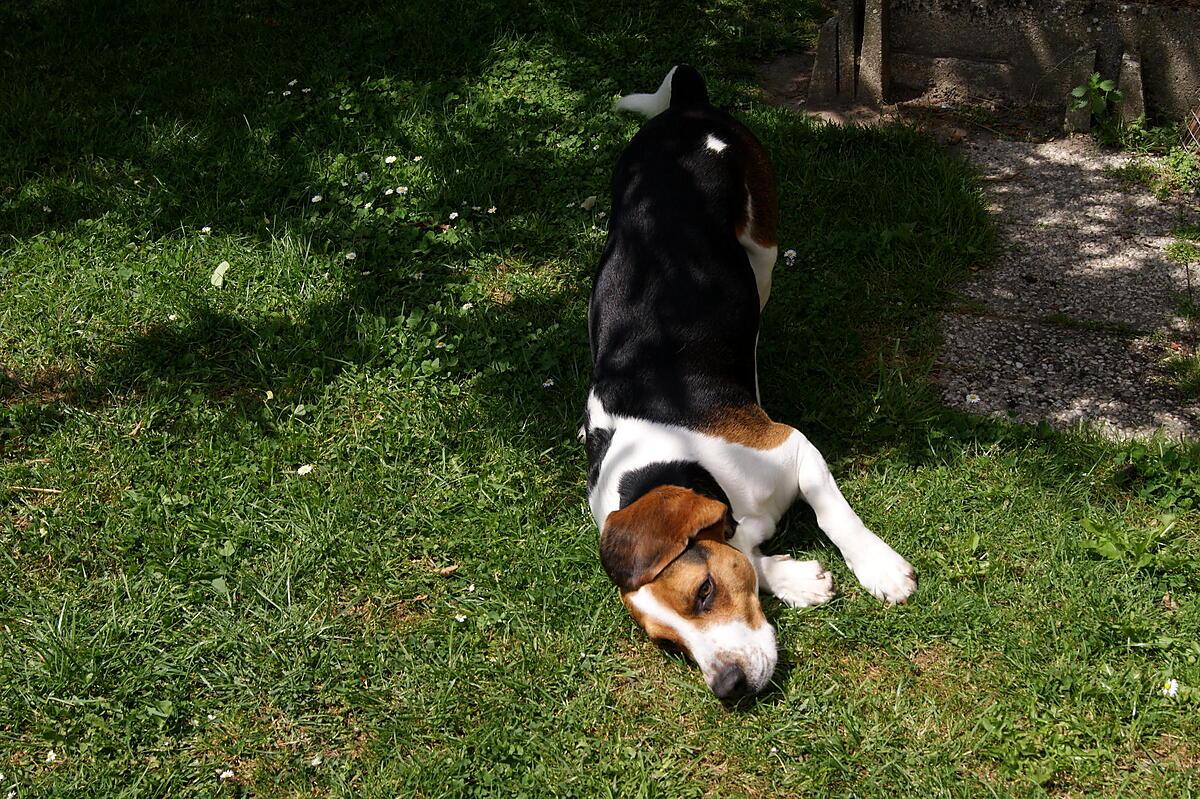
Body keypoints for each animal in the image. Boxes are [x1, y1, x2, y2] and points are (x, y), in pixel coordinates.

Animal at [585, 66, 912, 695]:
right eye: (669, 645)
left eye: (704, 592)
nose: (729, 688)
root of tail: (688, 107)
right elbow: (744, 550)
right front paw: (794, 579)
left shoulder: (794, 447)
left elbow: (836, 517)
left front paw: (879, 568)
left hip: (762, 246)